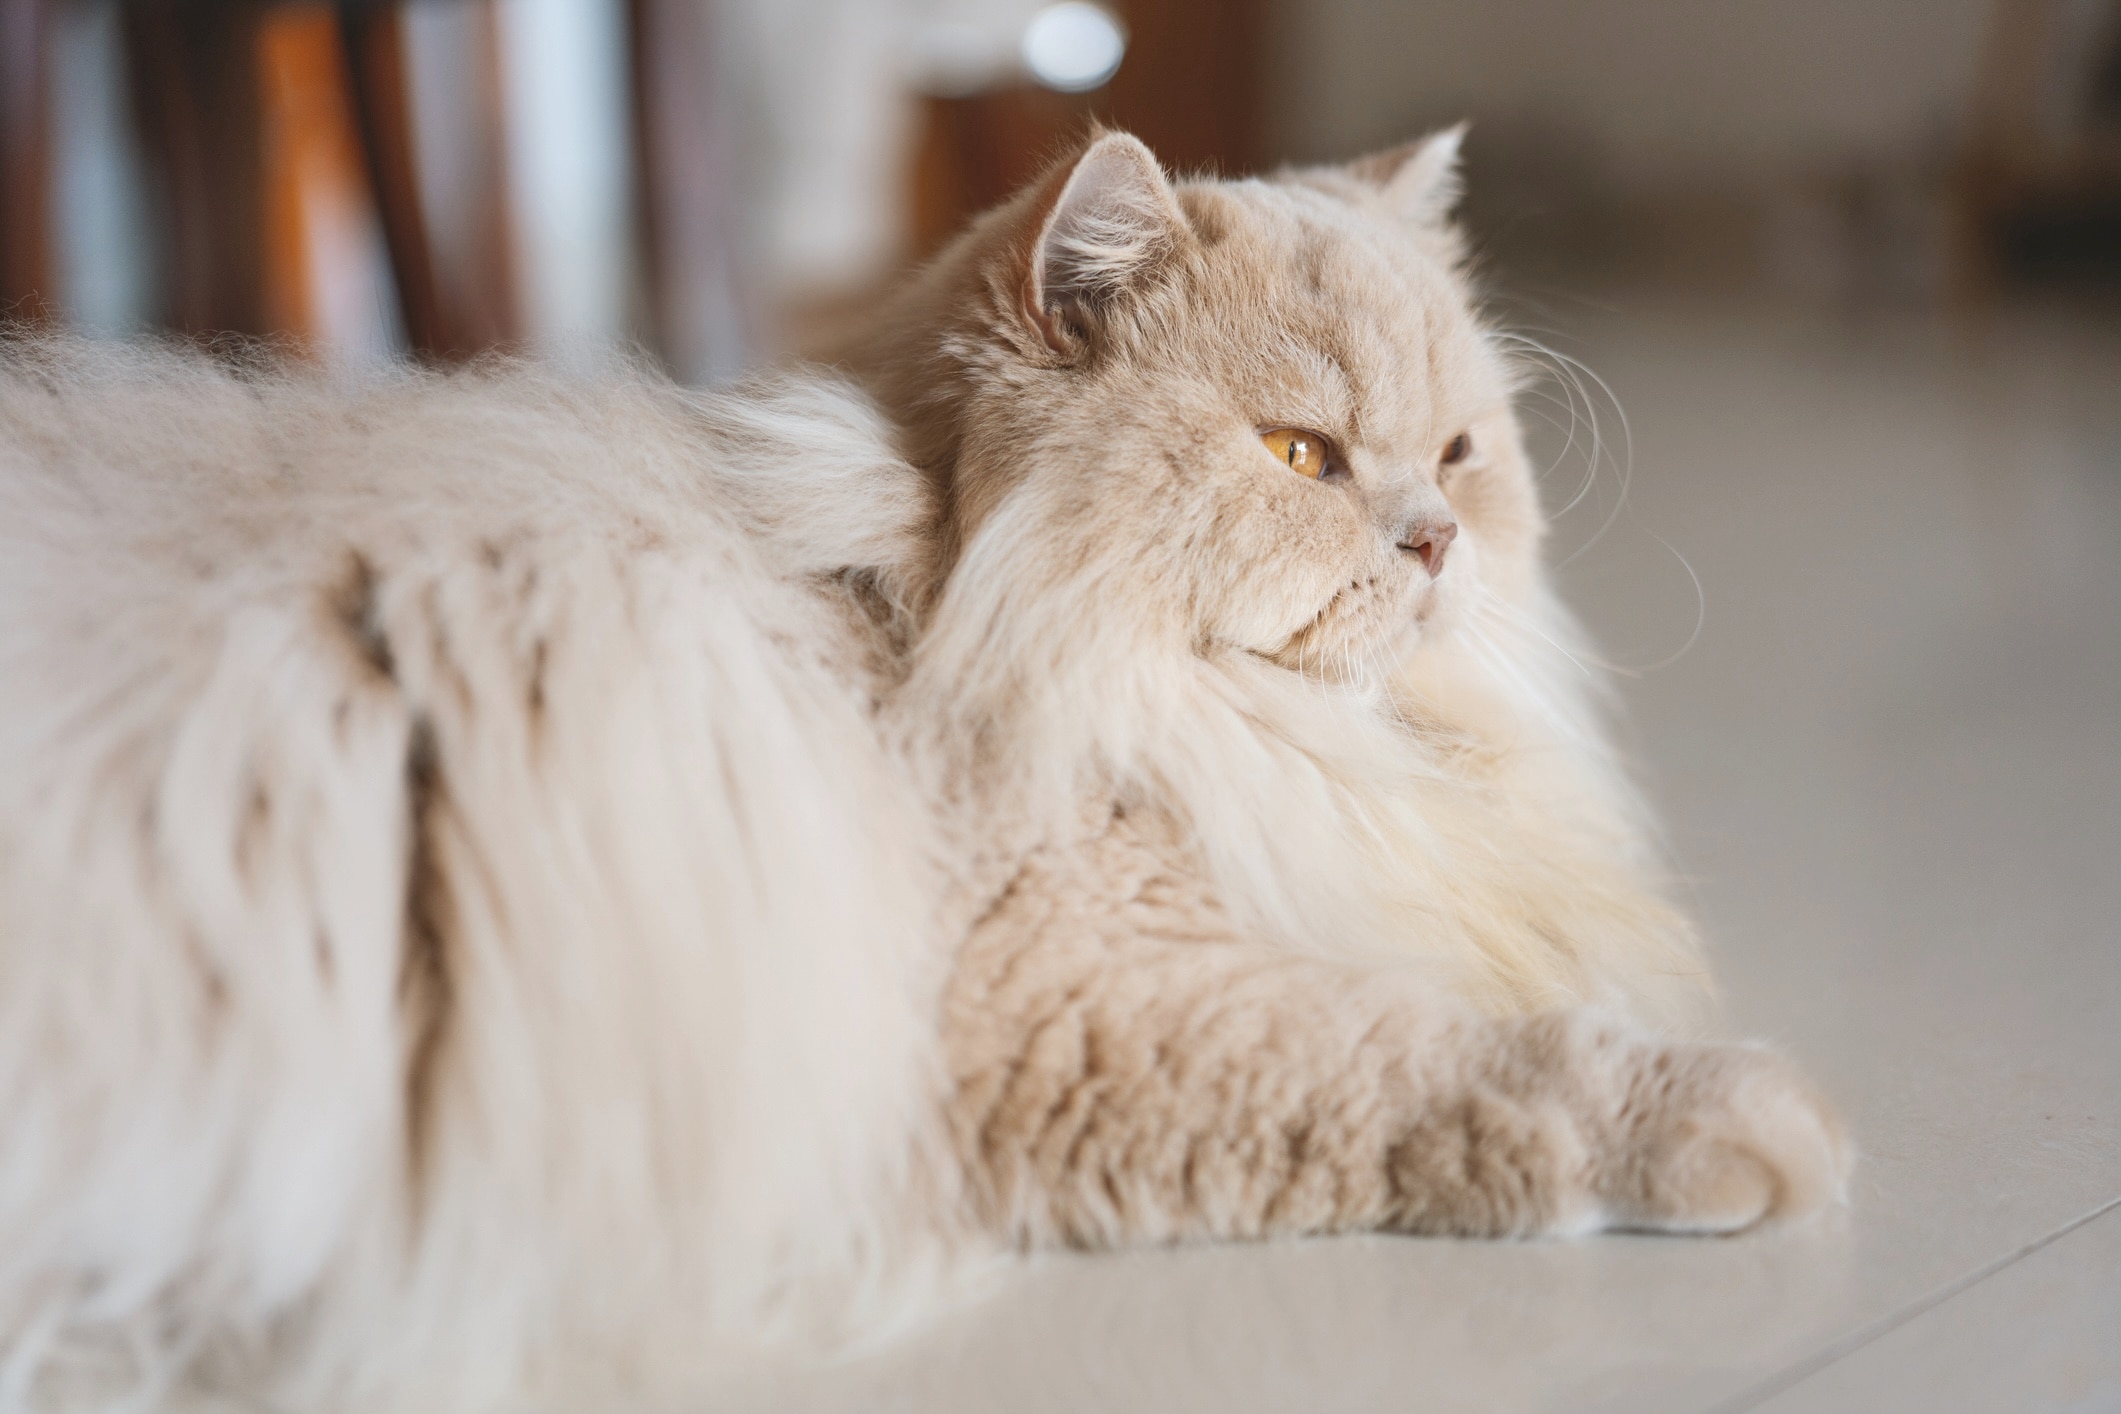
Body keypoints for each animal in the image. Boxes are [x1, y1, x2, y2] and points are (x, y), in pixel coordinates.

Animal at [0, 127, 1849, 1407]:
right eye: (1299, 455)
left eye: (1459, 454)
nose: (1436, 540)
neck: (919, 606)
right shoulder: (1071, 1007)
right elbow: (1460, 1061)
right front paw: (1764, 1122)